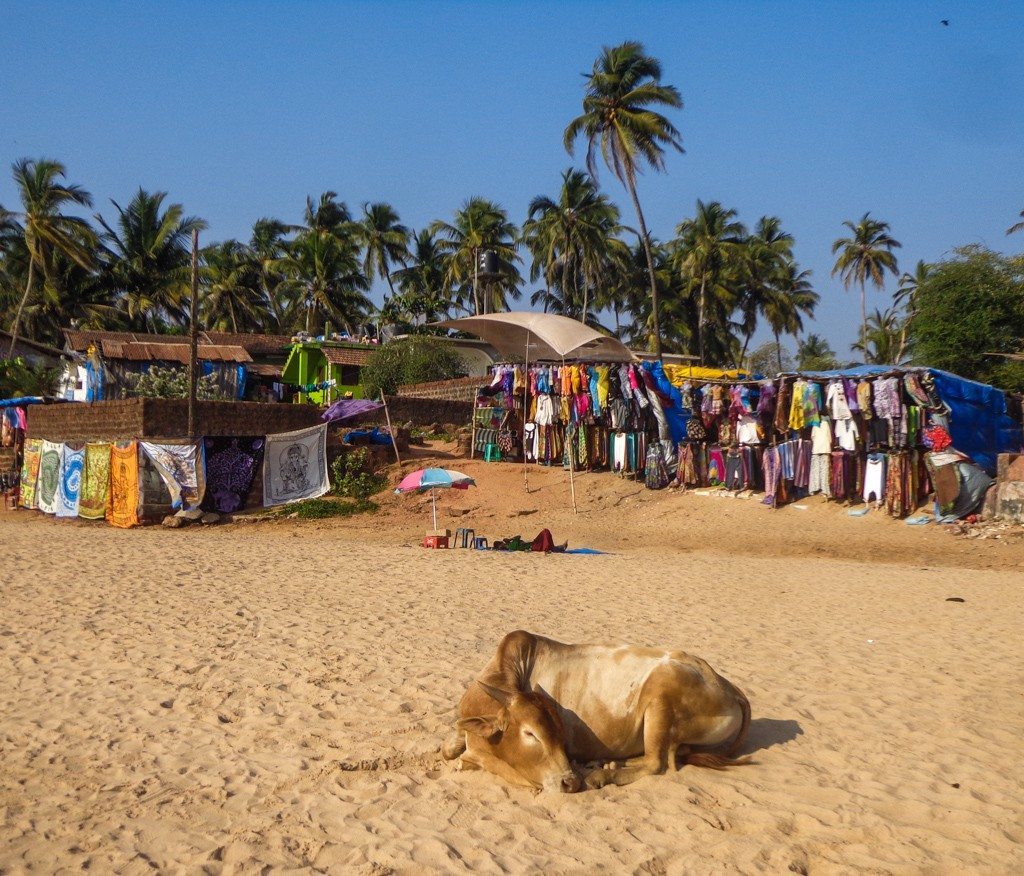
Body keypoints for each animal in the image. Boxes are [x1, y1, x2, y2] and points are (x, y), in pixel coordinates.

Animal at [442, 631, 753, 795]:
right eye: (530, 733)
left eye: (558, 733)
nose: (570, 781)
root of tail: (729, 687)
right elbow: (449, 750)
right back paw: (614, 764)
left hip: (659, 701)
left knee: (658, 763)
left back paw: (601, 775)